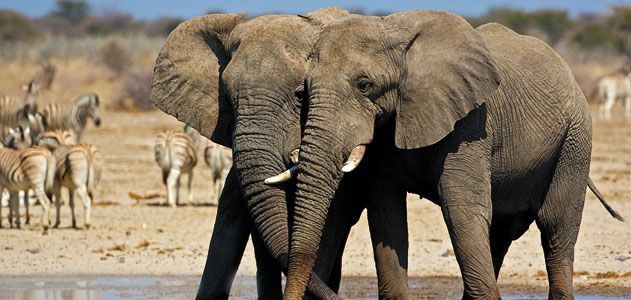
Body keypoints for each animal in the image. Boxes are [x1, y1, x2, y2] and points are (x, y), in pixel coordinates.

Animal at [280, 10, 624, 298]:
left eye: (365, 85)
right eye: (303, 90)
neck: (393, 31)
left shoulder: (470, 124)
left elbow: (461, 209)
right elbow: (386, 214)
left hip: (575, 140)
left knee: (556, 229)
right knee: (499, 234)